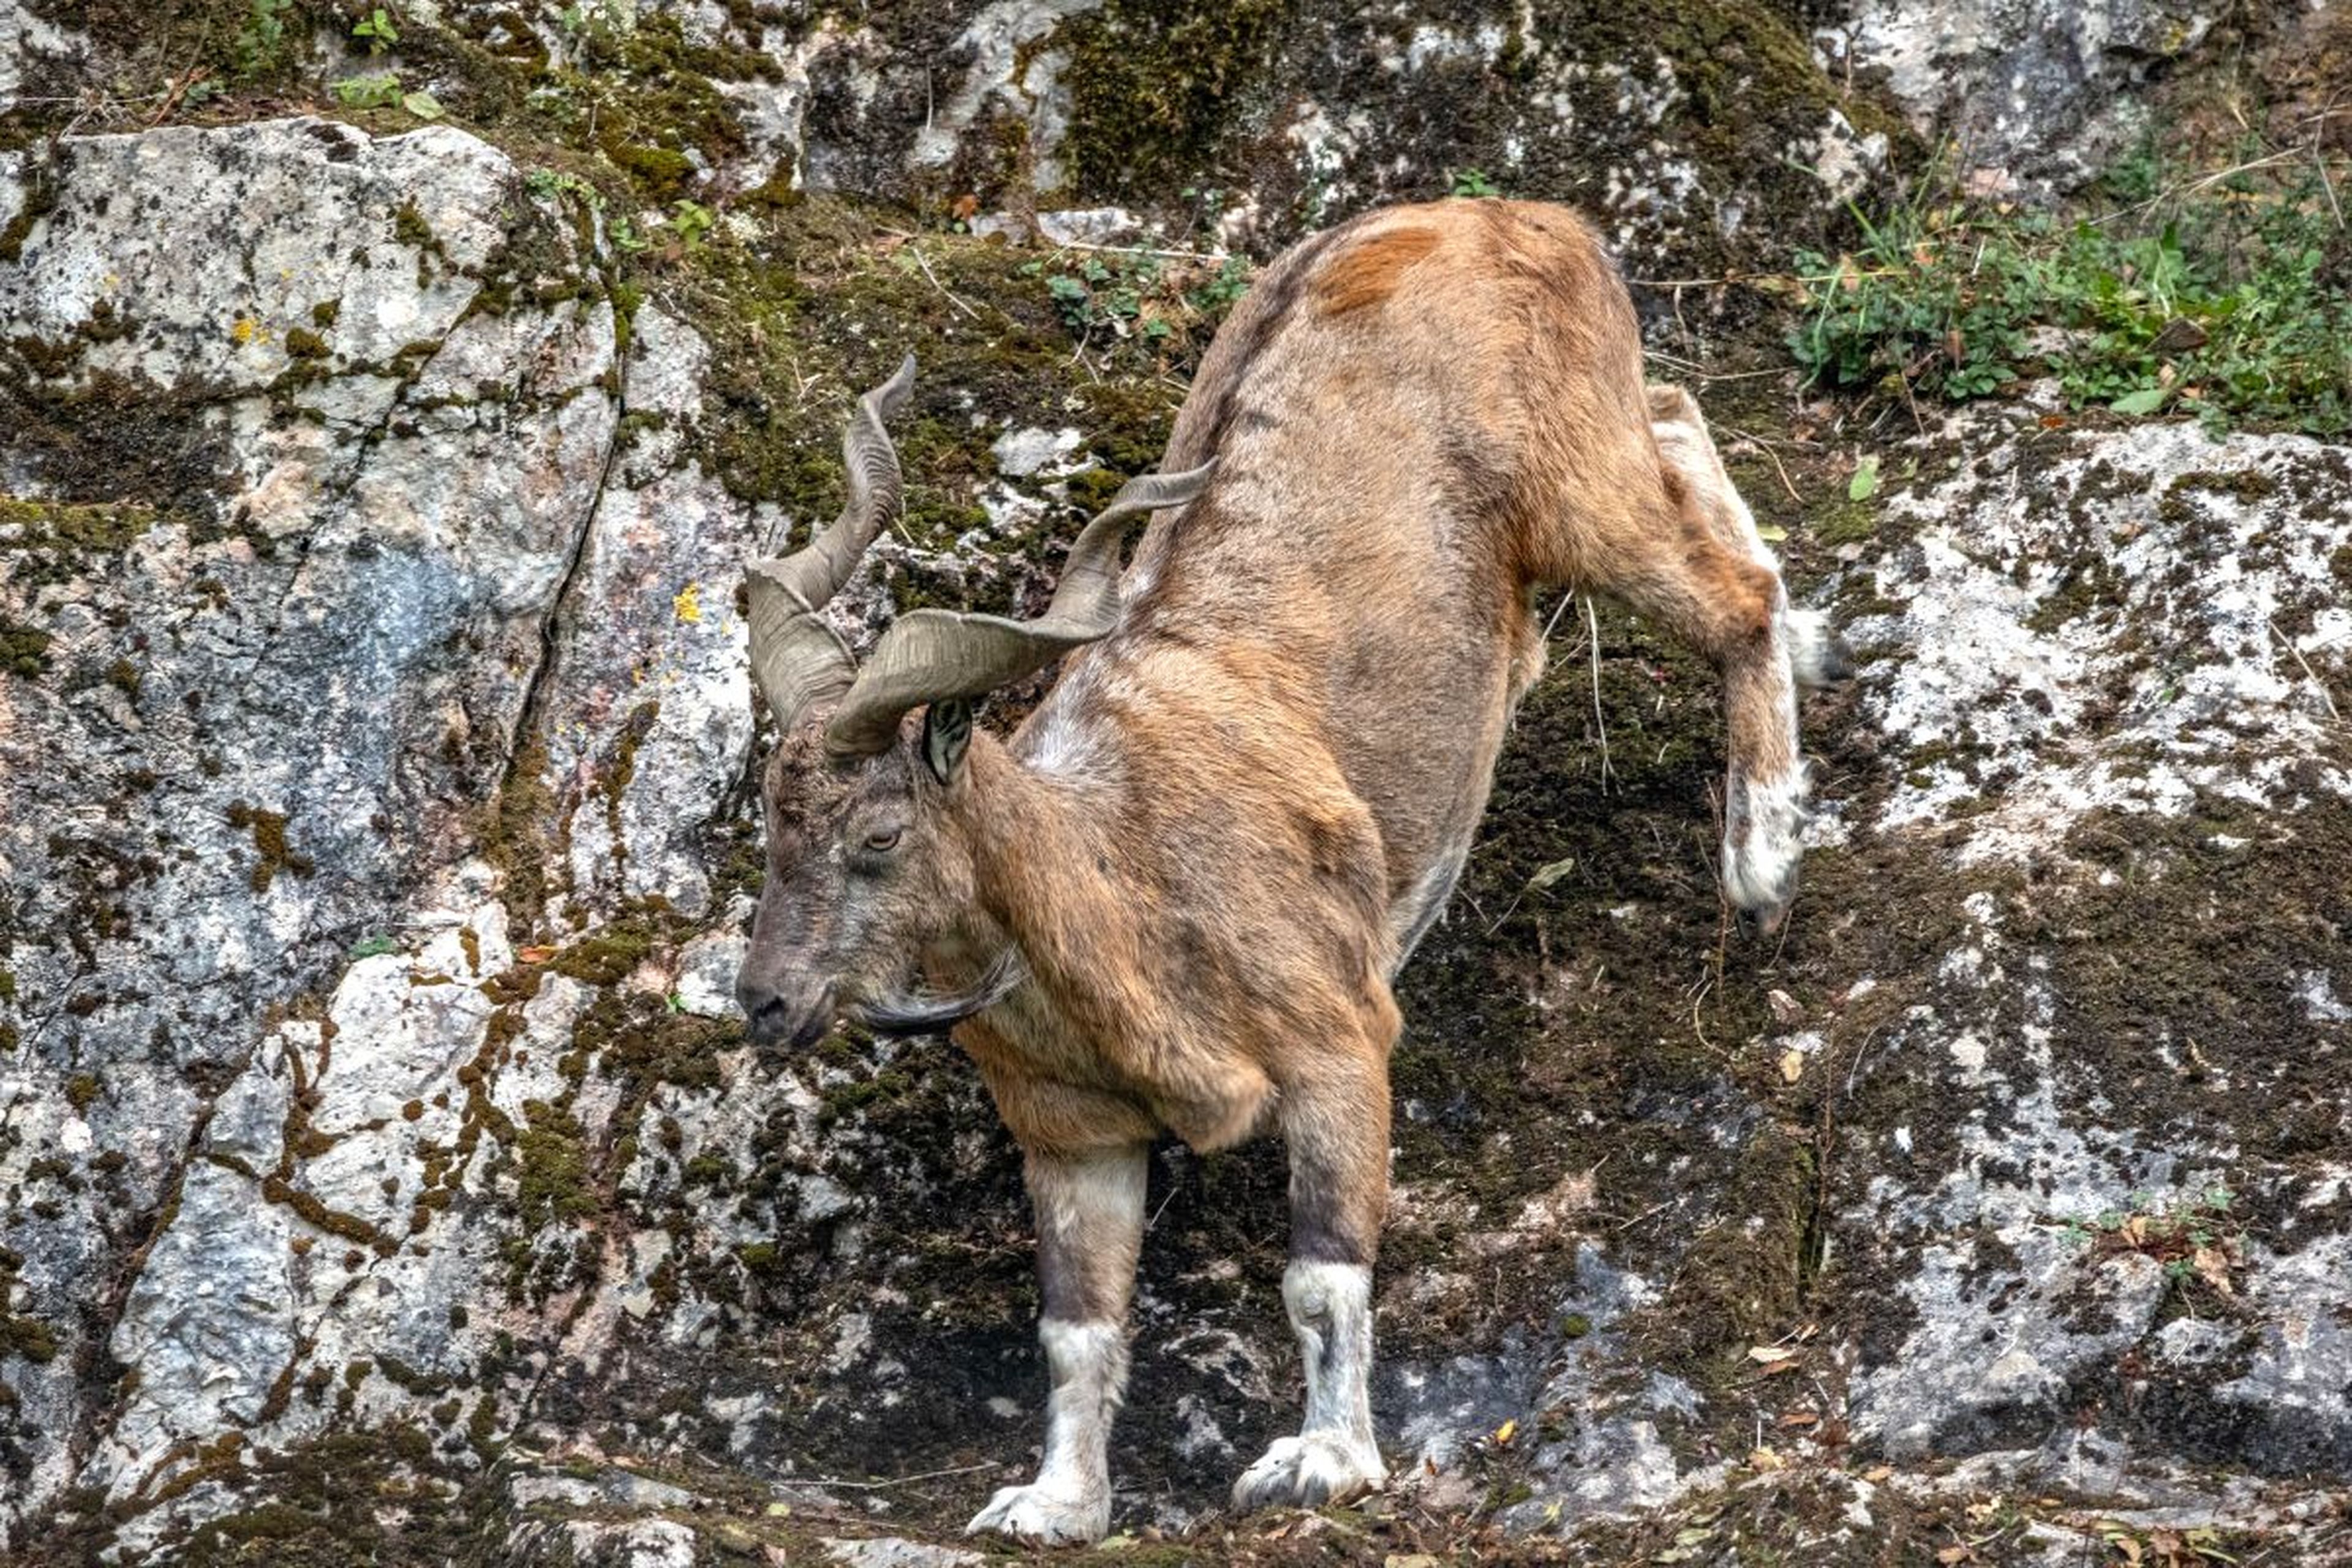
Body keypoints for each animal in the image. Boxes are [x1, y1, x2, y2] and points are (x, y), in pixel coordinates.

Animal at [731, 198, 1845, 1545]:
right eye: (771, 819)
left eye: (881, 834)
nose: (766, 1000)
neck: (1124, 878)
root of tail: (1514, 216)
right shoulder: (1073, 1130)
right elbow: (1078, 1332)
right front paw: (1053, 1502)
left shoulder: (1337, 1042)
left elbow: (1320, 1273)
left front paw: (1322, 1462)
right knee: (1678, 418)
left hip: (1578, 495)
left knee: (1733, 592)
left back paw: (1765, 849)